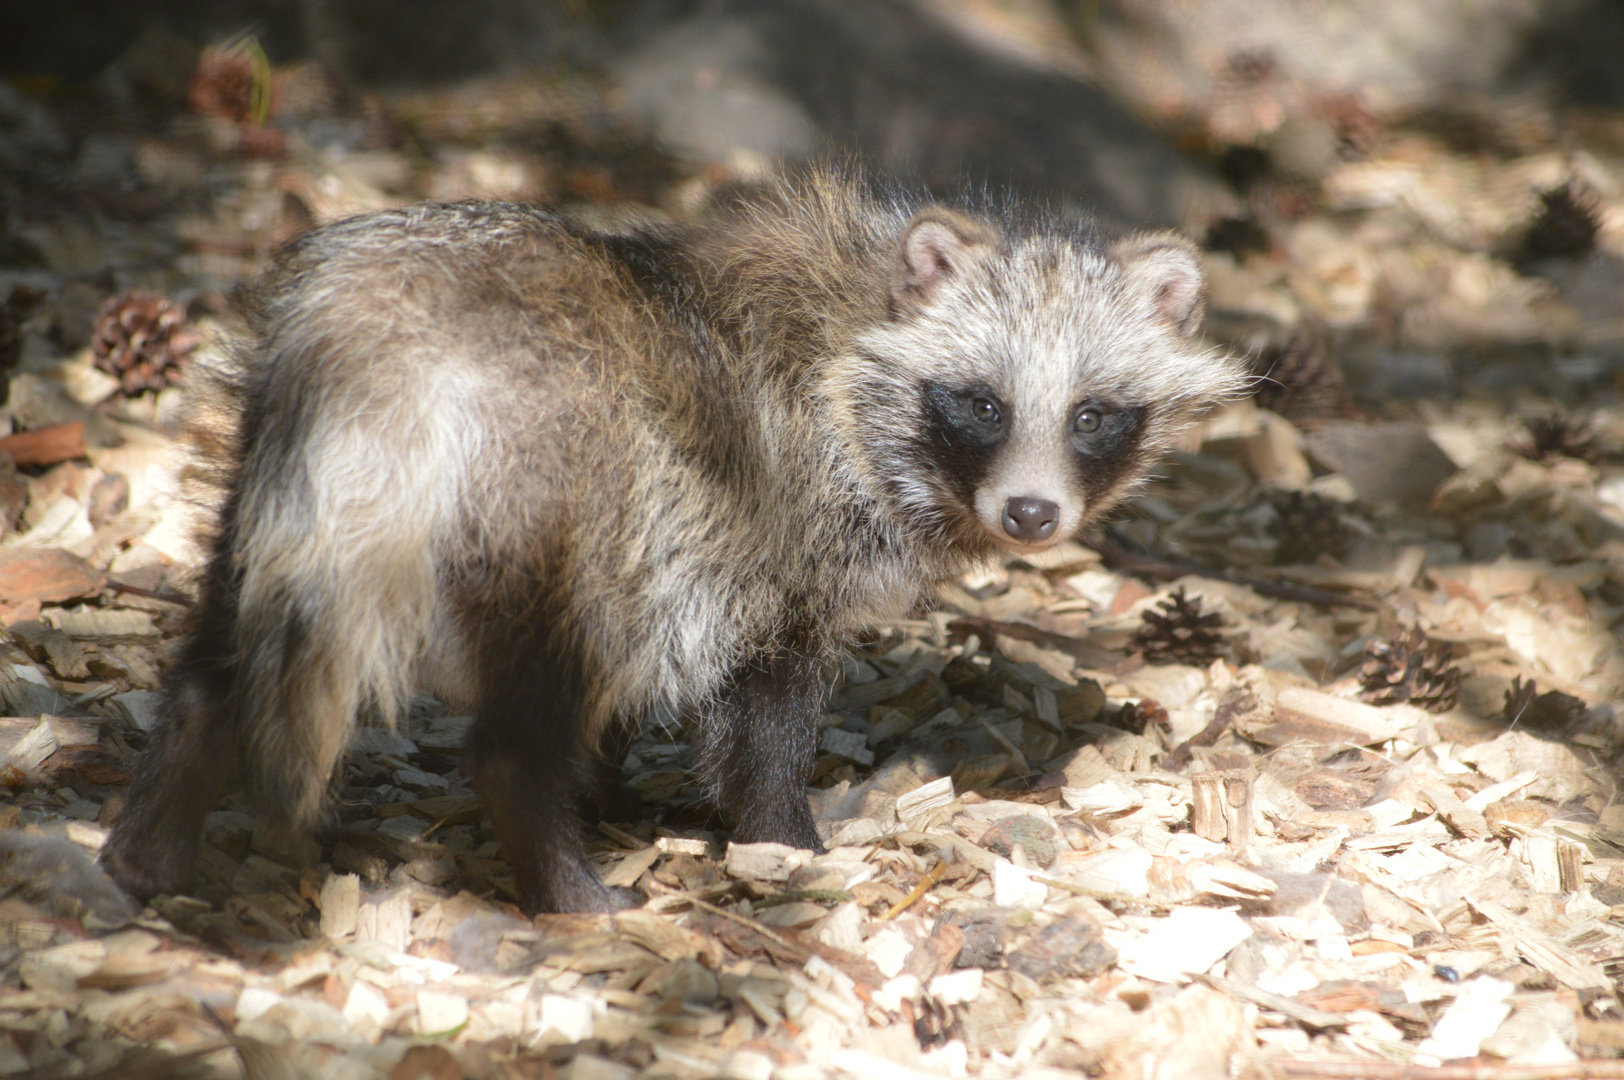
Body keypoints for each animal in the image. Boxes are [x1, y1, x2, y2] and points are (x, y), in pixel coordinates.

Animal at [98, 168, 1240, 909]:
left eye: (1094, 415)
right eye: (983, 404)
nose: (1032, 515)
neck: (859, 322)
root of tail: (387, 336)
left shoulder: (692, 550)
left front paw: (614, 789)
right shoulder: (776, 526)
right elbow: (762, 711)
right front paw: (784, 837)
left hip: (280, 461)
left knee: (221, 653)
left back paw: (153, 839)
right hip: (548, 497)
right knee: (521, 721)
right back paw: (566, 885)